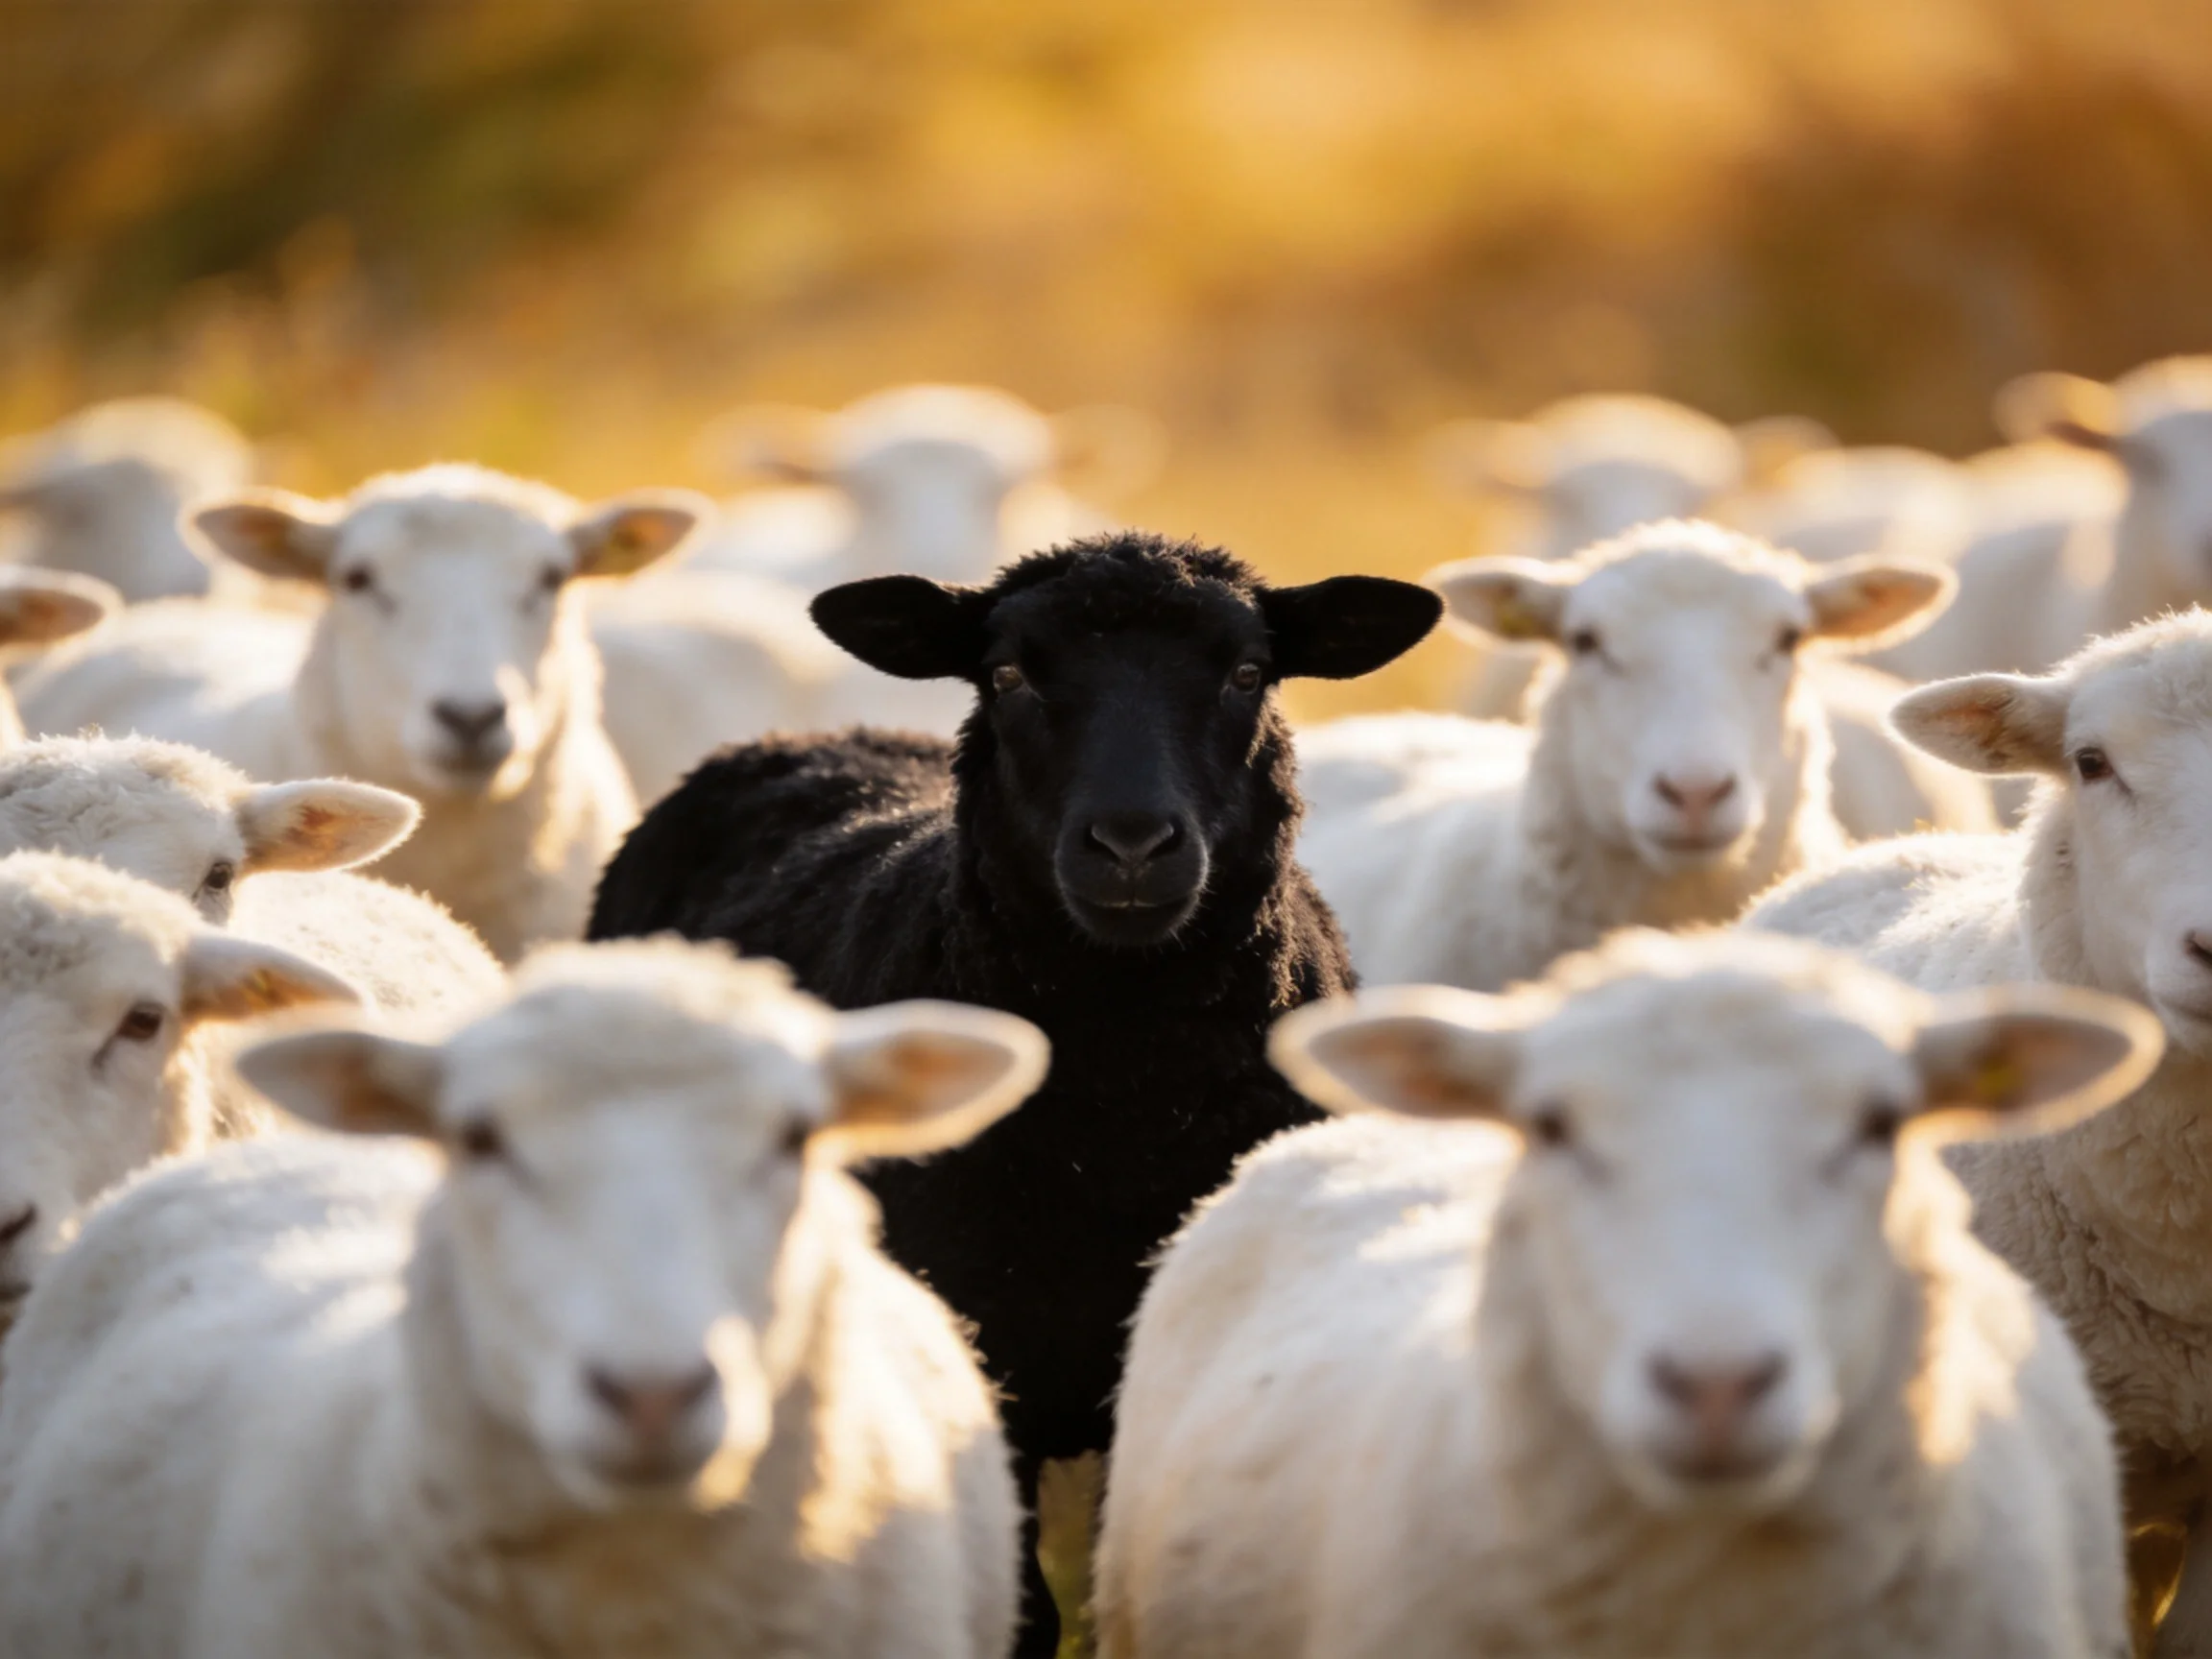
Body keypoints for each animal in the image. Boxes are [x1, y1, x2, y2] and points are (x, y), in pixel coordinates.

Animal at [586, 530, 1442, 1654]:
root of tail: (811, 732)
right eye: (1006, 676)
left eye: (1249, 673)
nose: (1132, 845)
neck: (1121, 1098)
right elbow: (1023, 1617)